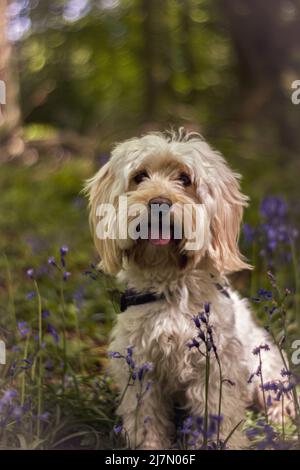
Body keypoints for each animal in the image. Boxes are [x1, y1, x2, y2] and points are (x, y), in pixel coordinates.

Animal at [85, 130, 288, 450]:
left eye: (185, 178)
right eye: (140, 177)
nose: (158, 202)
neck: (170, 285)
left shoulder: (216, 368)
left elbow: (219, 416)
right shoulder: (141, 369)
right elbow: (146, 420)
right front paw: (149, 446)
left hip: (266, 371)